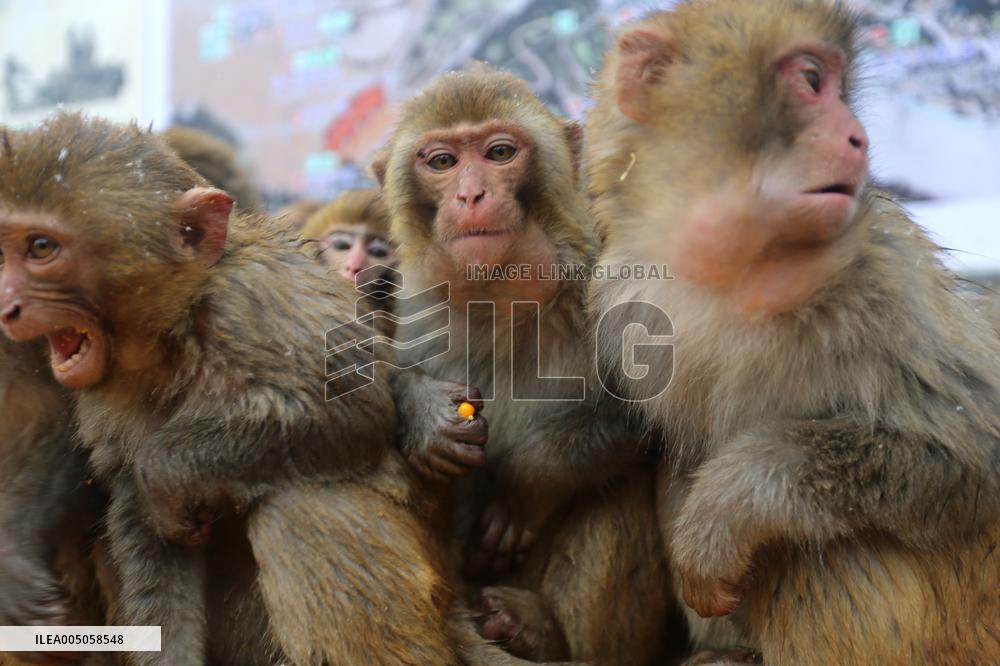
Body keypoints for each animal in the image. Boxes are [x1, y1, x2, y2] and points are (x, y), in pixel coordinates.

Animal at [0, 113, 533, 666]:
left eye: (42, 249)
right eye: (6, 249)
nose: (6, 303)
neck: (172, 332)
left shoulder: (255, 301)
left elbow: (351, 408)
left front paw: (164, 473)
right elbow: (142, 524)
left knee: (300, 501)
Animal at [374, 68, 673, 664]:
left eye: (499, 153)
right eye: (442, 162)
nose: (471, 193)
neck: (504, 296)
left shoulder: (615, 271)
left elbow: (656, 412)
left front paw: (524, 482)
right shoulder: (419, 302)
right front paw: (428, 418)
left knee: (615, 488)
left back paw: (540, 632)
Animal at [586, 2, 1000, 664]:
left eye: (838, 87)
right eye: (810, 81)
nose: (858, 138)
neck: (739, 274)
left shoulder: (886, 276)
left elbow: (970, 451)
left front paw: (731, 502)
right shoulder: (626, 298)